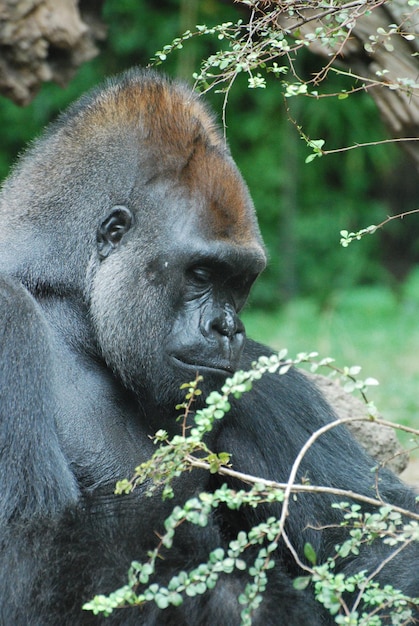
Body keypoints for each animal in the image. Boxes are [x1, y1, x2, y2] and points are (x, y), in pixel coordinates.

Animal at [0, 68, 418, 624]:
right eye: (201, 273)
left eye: (240, 281)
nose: (227, 327)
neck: (73, 312)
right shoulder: (7, 314)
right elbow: (28, 557)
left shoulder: (256, 371)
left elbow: (377, 542)